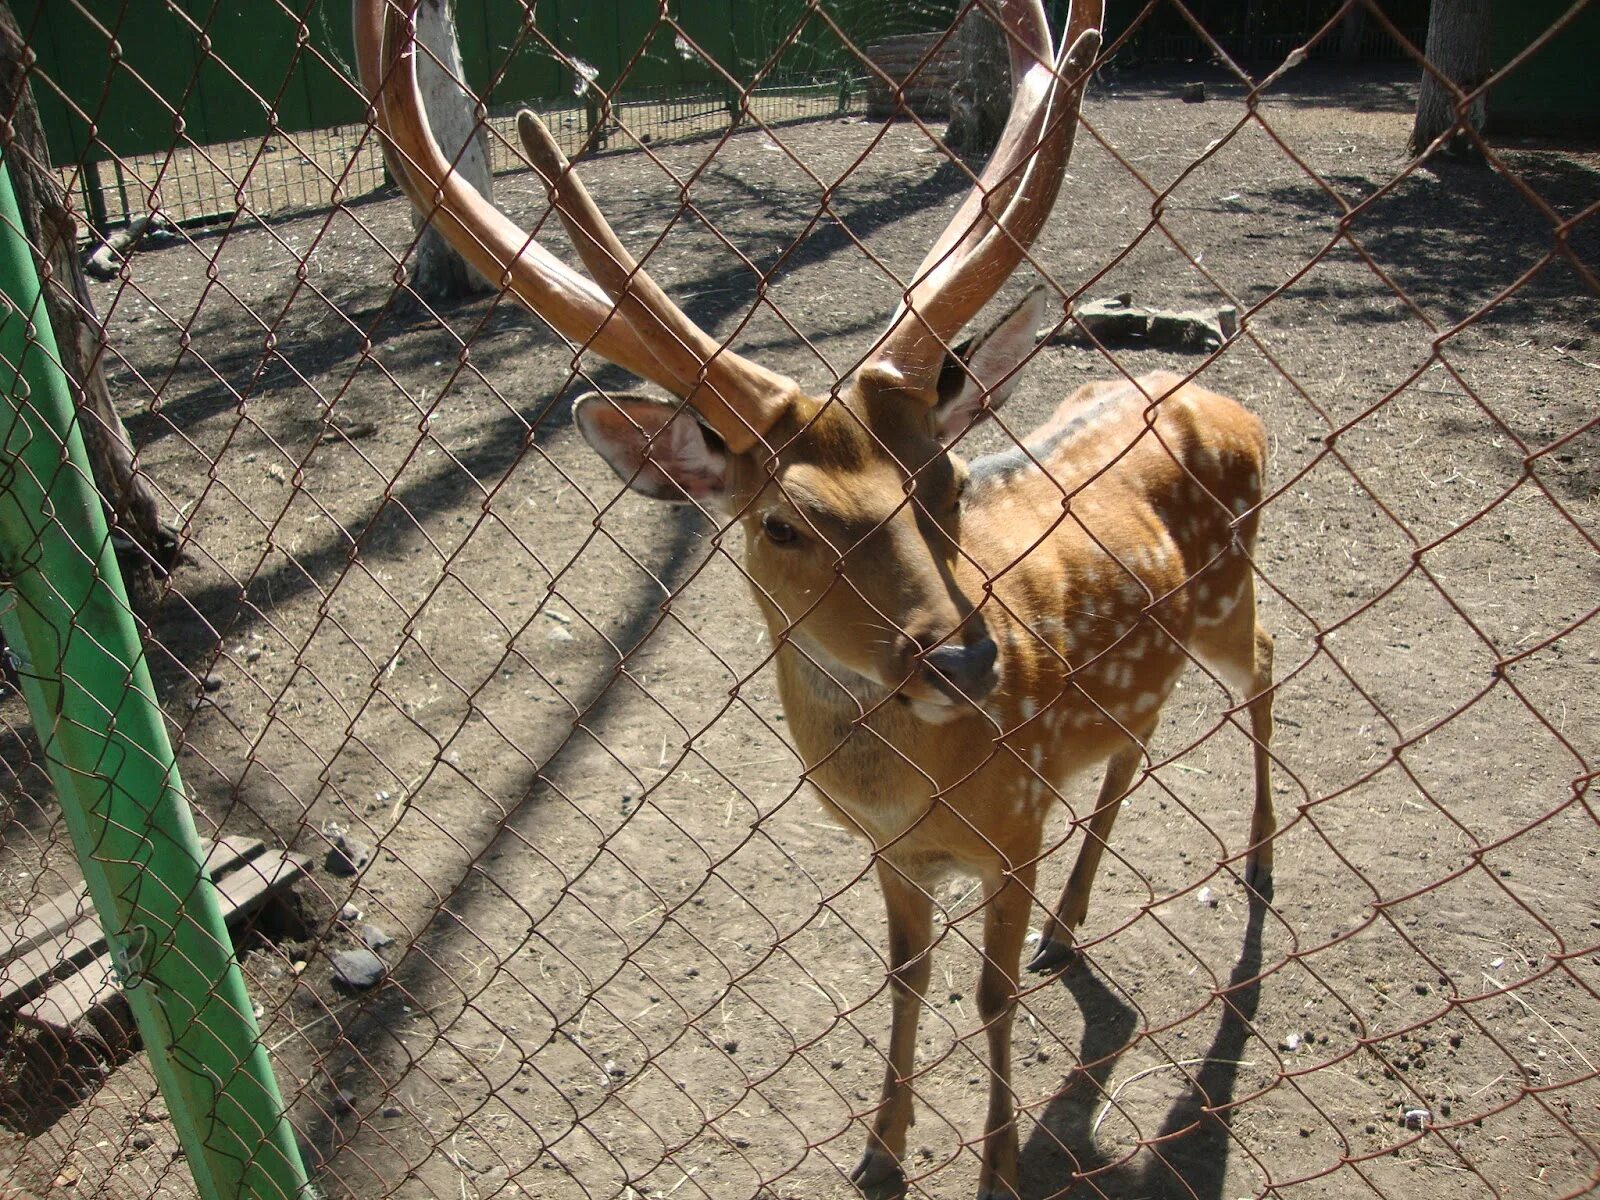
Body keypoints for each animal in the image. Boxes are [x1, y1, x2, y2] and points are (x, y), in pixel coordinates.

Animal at [360, 4, 1273, 1196]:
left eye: (948, 477)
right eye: (782, 524)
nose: (965, 662)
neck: (918, 794)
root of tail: (1229, 403)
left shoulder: (1017, 822)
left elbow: (989, 998)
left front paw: (994, 1166)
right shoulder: (893, 856)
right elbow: (905, 977)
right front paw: (879, 1151)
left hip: (1230, 589)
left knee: (1265, 668)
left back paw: (1257, 867)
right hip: (1156, 660)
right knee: (1138, 738)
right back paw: (1071, 929)